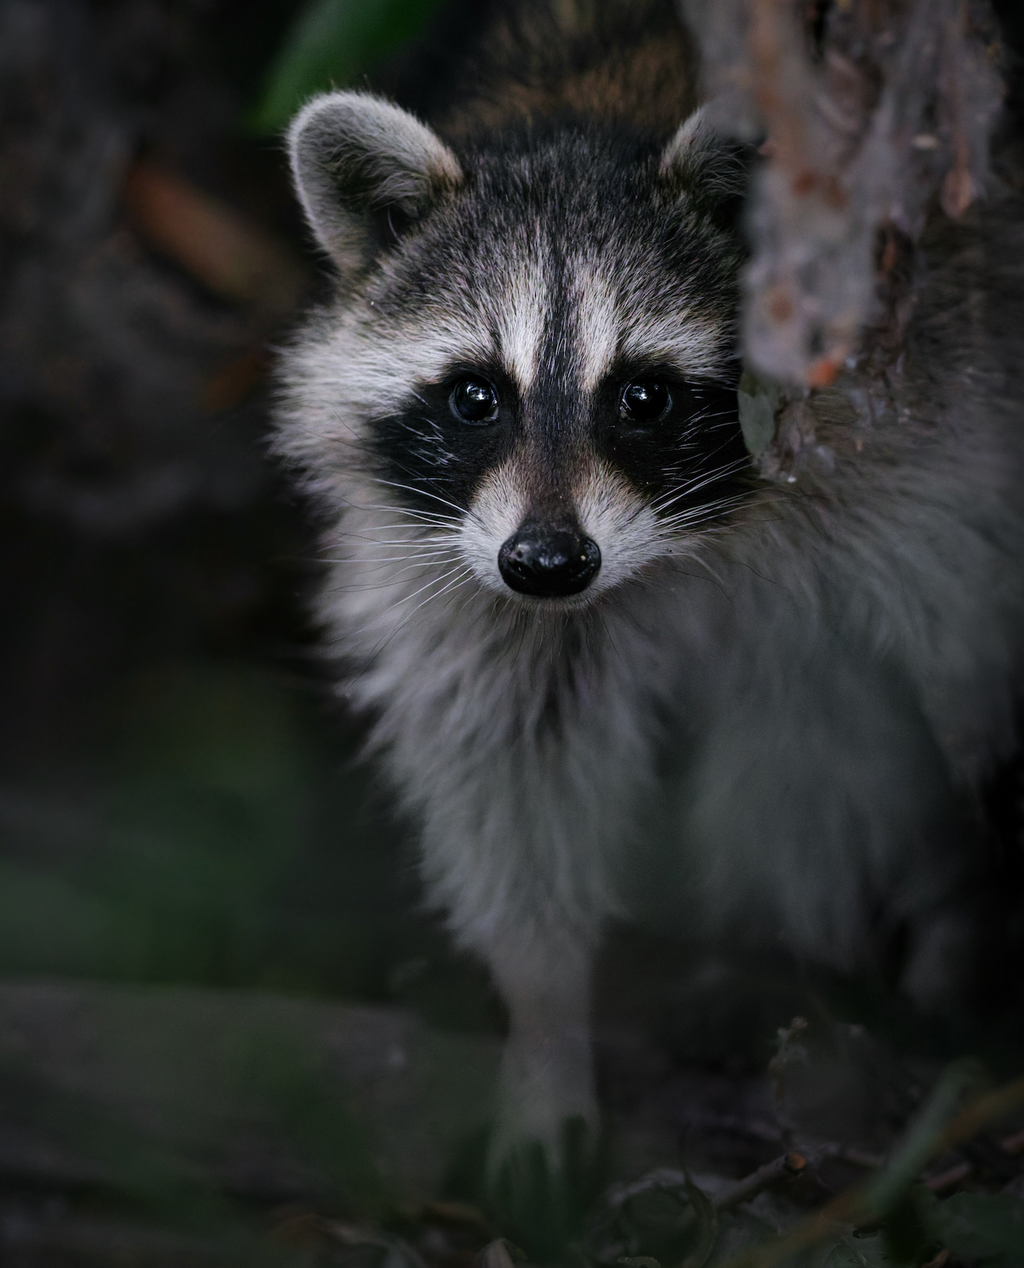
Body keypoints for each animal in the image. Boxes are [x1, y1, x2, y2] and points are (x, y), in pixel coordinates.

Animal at [276, 0, 1024, 1162]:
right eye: (475, 395)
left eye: (643, 395)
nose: (548, 565)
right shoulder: (462, 570)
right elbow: (510, 752)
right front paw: (544, 1012)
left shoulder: (920, 459)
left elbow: (856, 722)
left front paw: (785, 938)